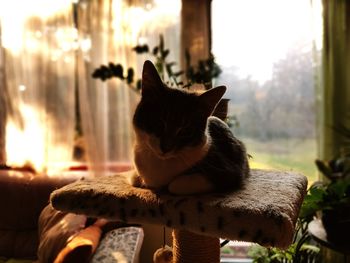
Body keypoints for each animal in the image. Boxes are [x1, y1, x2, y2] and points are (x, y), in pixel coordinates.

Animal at [129, 60, 249, 196]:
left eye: (185, 130)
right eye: (158, 121)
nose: (165, 148)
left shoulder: (228, 170)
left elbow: (174, 186)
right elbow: (133, 177)